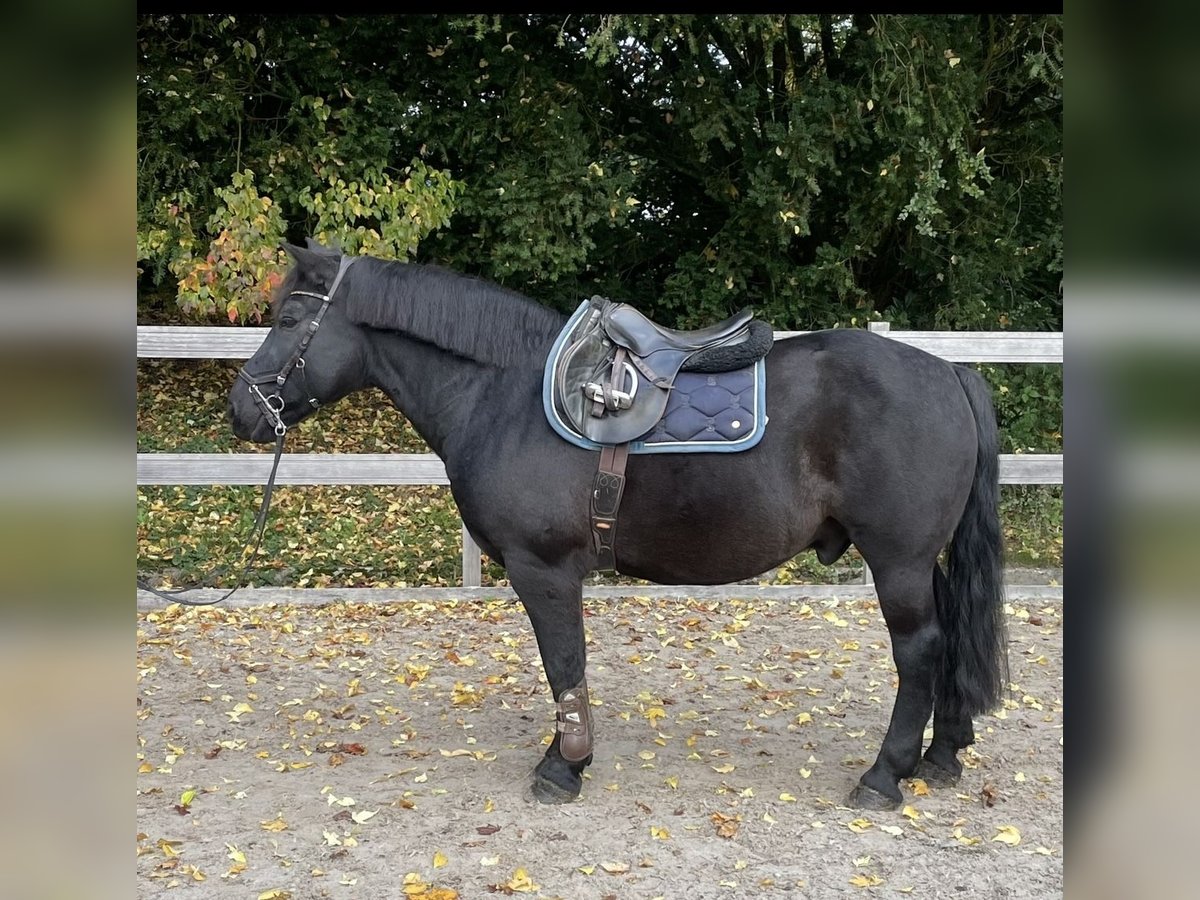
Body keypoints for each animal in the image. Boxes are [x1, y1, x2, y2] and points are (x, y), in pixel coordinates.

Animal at [228, 240, 1008, 810]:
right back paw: (942, 754)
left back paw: (885, 775)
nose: (242, 410)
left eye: (289, 321)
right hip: (923, 560)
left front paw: (564, 766)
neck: (505, 394)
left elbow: (563, 664)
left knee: (920, 649)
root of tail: (950, 373)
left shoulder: (543, 571)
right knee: (949, 636)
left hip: (898, 560)